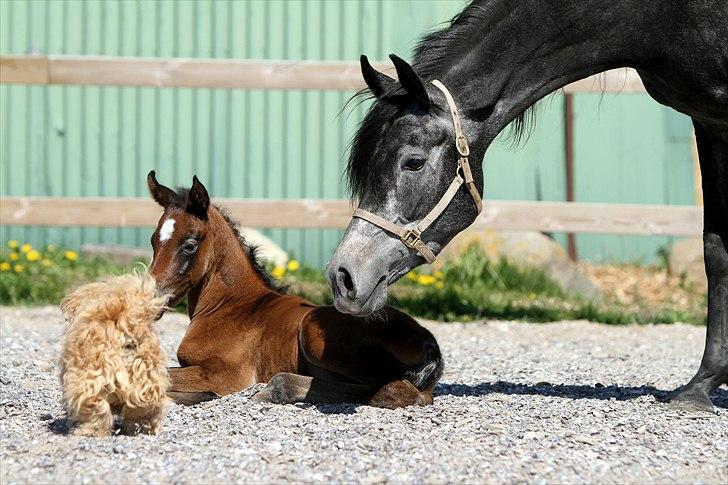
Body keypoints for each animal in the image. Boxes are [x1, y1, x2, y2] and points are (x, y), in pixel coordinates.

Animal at [145, 172, 440, 406]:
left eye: (189, 245)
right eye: (153, 240)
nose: (150, 300)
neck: (230, 306)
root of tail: (427, 339)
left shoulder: (224, 374)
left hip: (312, 328)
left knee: (392, 390)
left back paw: (276, 389)